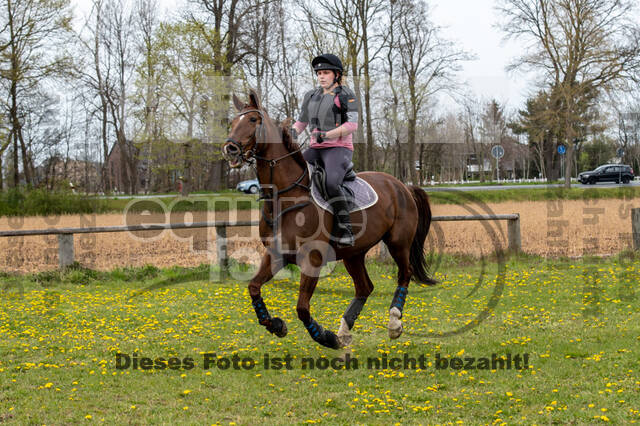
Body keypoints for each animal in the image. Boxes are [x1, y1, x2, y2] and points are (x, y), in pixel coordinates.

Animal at [222, 90, 438, 350]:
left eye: (253, 120)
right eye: (232, 122)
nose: (230, 148)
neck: (285, 197)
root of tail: (401, 186)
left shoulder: (312, 259)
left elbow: (302, 308)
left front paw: (325, 337)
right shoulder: (276, 254)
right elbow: (254, 288)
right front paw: (275, 325)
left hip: (398, 243)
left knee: (404, 273)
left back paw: (394, 323)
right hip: (354, 253)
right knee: (365, 287)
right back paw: (344, 330)